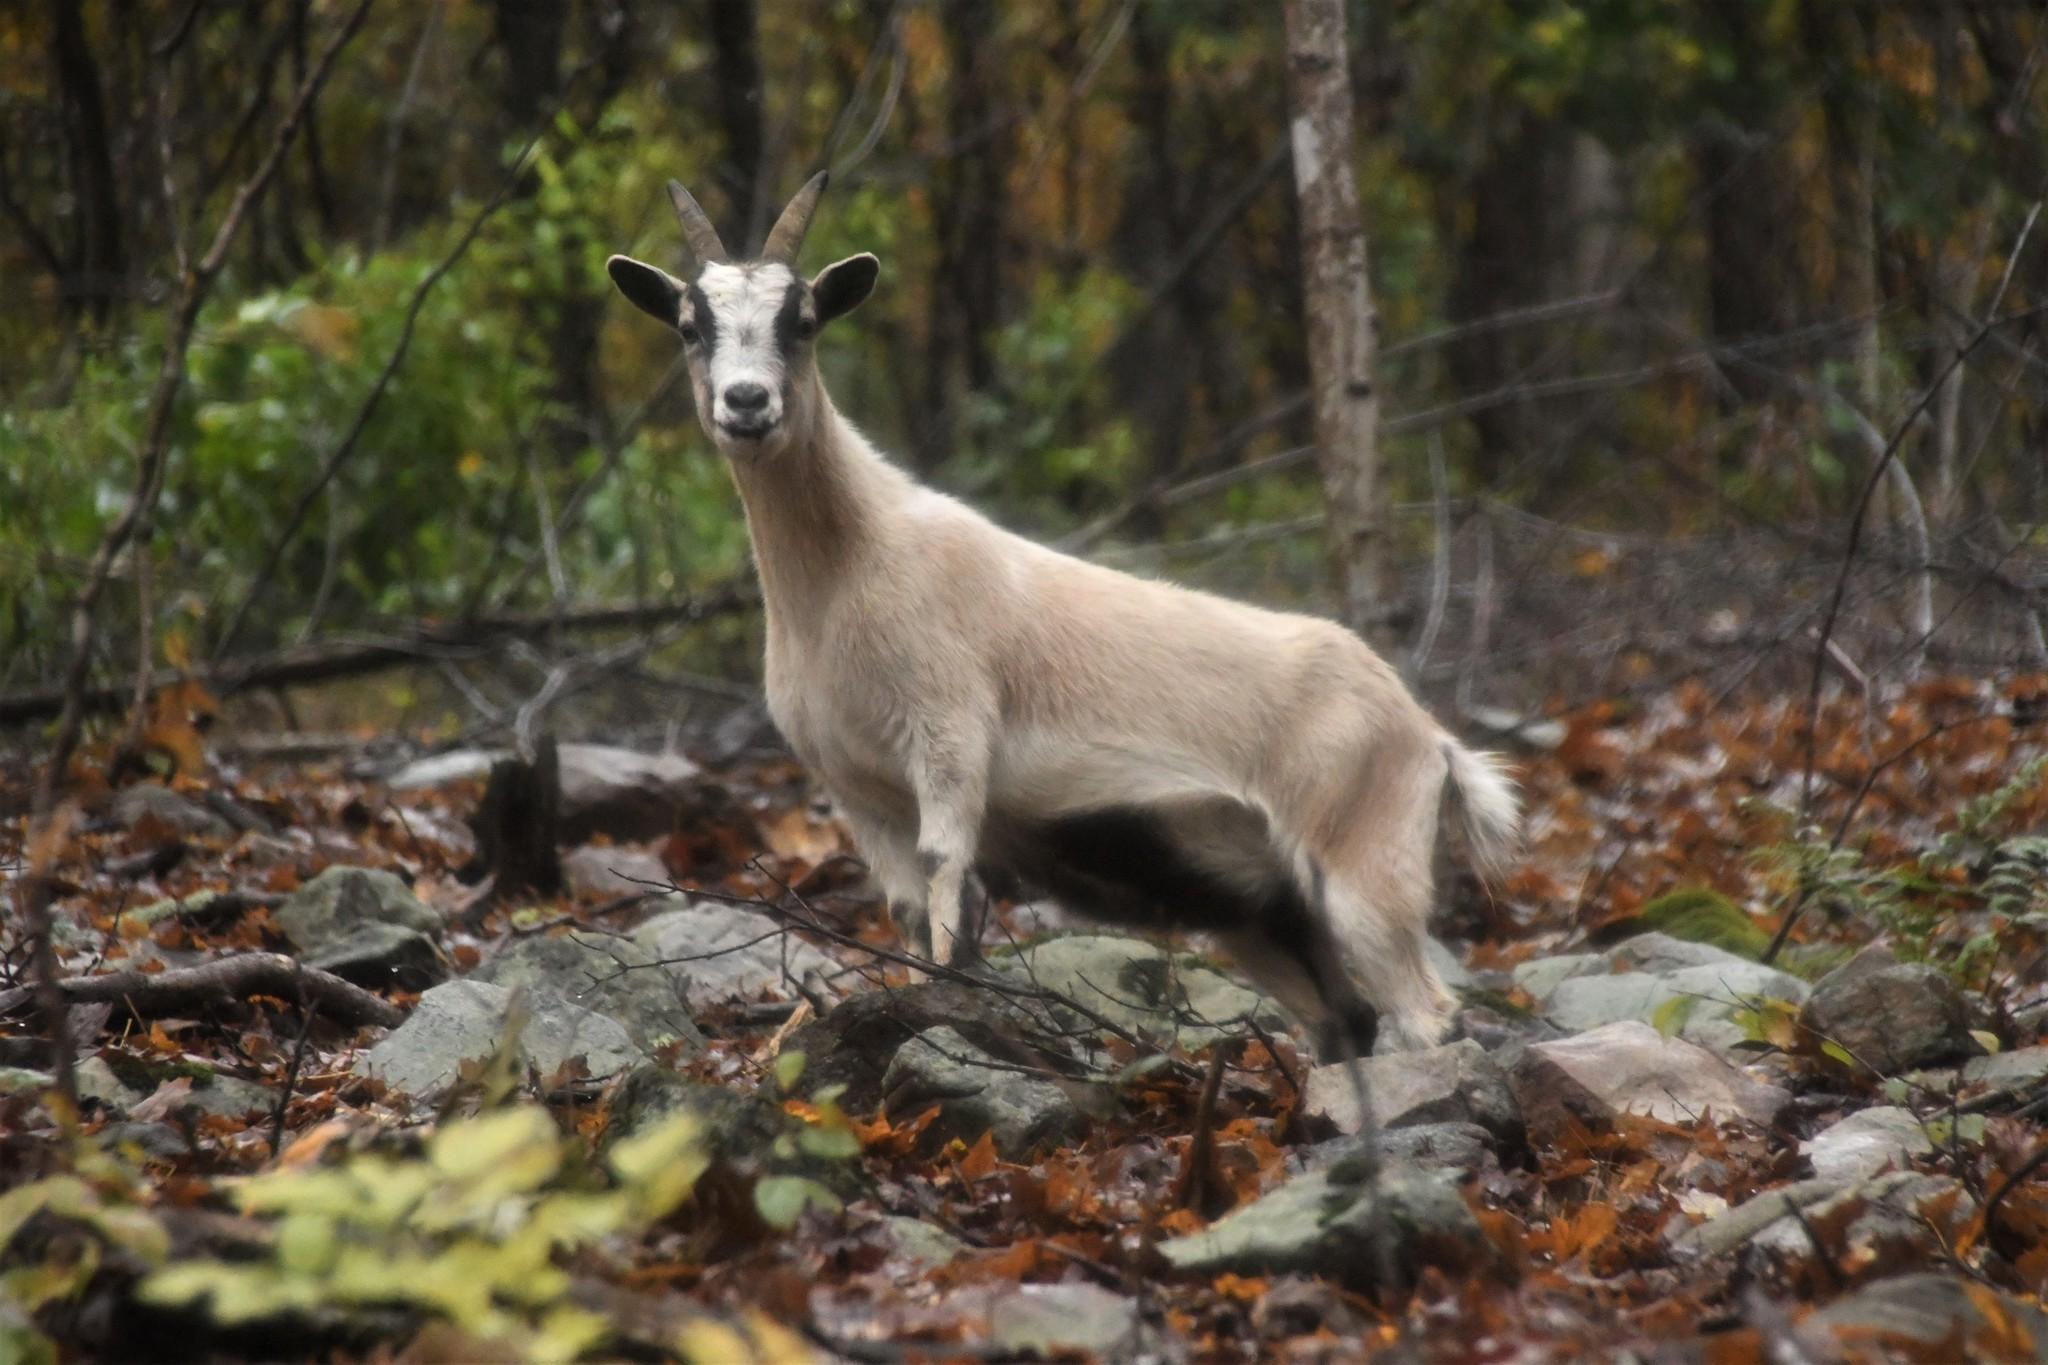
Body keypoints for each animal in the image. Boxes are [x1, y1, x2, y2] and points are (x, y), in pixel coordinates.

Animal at [605, 172, 1520, 1053]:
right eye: (689, 326)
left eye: (802, 320)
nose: (747, 404)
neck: (848, 566)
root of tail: (1427, 737)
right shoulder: (856, 786)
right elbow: (906, 909)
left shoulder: (950, 738)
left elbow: (949, 881)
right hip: (1256, 905)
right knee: (1344, 1022)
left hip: (1365, 868)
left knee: (1428, 1015)